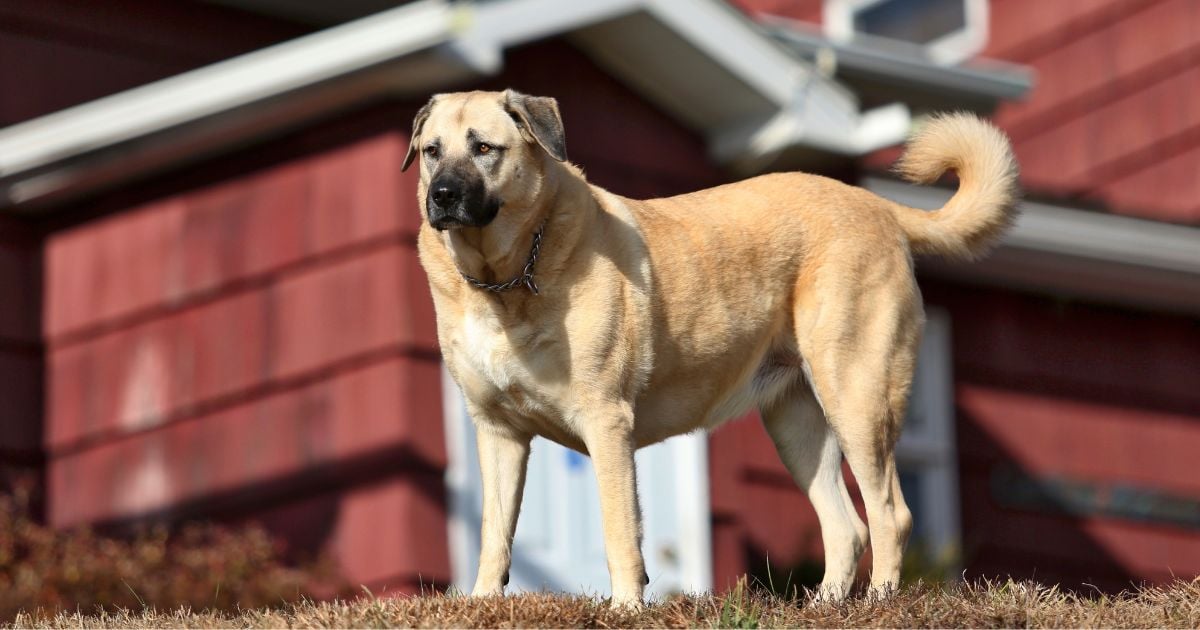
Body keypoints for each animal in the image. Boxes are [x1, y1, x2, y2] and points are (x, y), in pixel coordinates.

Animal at [405, 88, 1022, 604]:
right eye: (432, 151)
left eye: (484, 148)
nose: (442, 196)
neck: (503, 281)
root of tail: (878, 207)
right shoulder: (498, 431)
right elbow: (494, 531)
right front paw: (483, 604)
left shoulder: (607, 421)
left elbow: (618, 530)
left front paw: (626, 609)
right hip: (797, 422)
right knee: (847, 526)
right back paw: (824, 606)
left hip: (857, 397)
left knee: (891, 513)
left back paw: (879, 604)